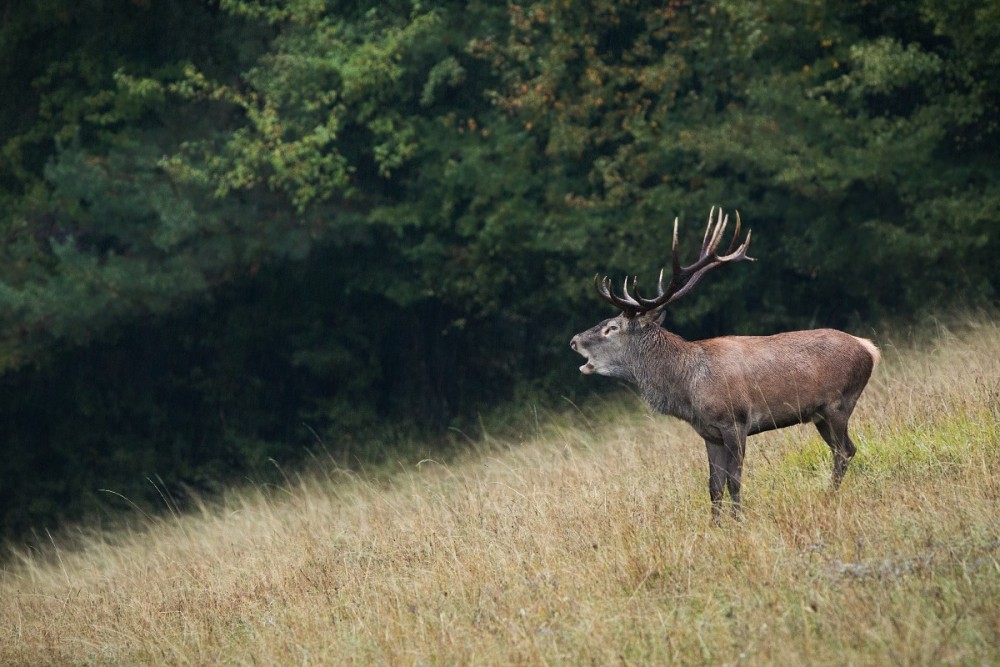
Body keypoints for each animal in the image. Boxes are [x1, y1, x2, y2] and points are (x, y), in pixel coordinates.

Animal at [568, 209, 880, 520]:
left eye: (611, 328)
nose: (574, 340)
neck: (688, 388)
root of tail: (869, 348)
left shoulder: (735, 421)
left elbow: (734, 480)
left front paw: (738, 521)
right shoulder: (710, 434)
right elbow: (714, 485)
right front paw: (716, 525)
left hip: (839, 404)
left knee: (845, 451)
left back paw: (829, 498)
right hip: (819, 414)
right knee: (845, 450)